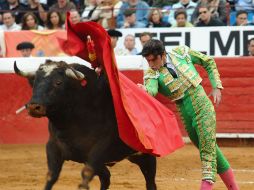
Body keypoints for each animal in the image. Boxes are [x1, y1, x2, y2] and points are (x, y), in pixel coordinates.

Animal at [14, 59, 157, 190]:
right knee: (106, 177)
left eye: (58, 82)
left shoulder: (100, 149)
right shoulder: (53, 146)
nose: (33, 107)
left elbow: (86, 173)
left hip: (145, 157)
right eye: (34, 82)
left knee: (150, 182)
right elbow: (51, 176)